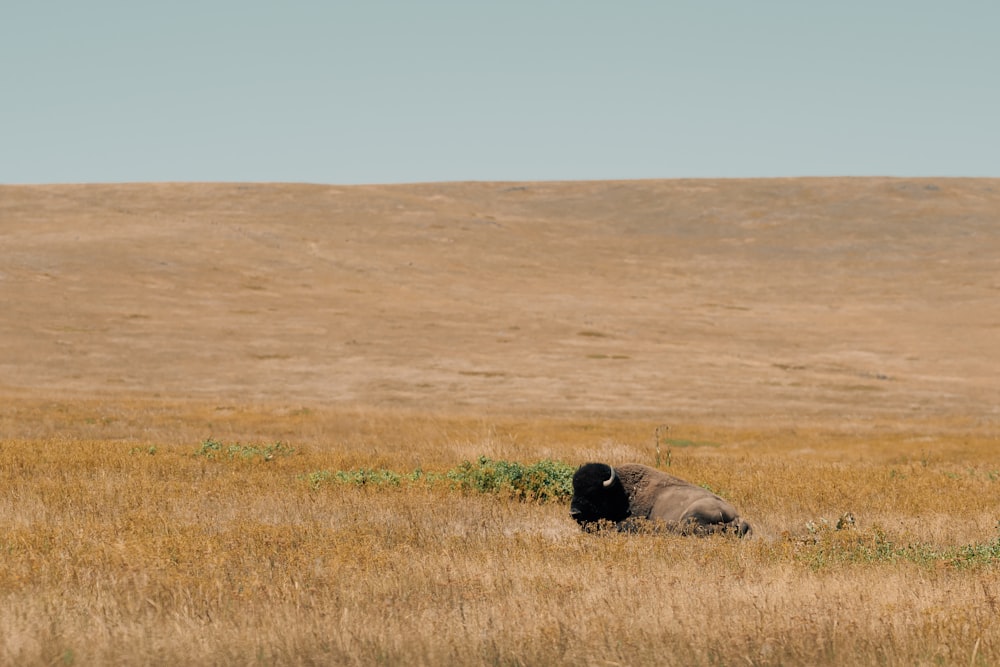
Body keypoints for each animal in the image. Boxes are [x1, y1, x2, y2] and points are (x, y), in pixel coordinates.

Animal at [572, 464, 752, 536]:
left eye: (593, 492)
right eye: (575, 489)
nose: (574, 512)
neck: (621, 492)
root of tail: (739, 517)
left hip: (692, 514)